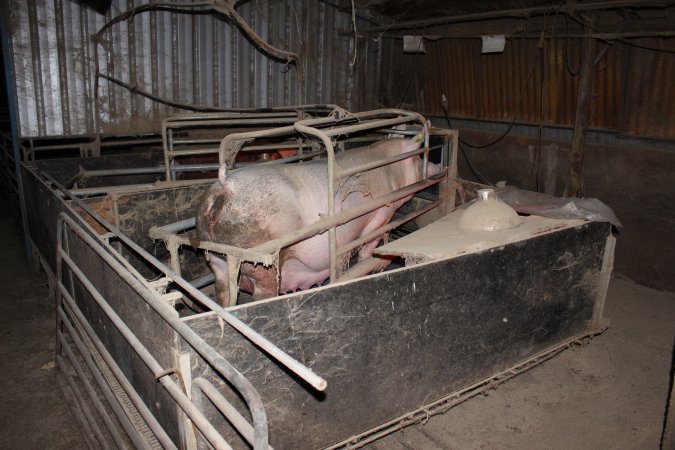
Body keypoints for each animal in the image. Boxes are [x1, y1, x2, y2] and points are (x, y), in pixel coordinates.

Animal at [195, 136, 434, 306]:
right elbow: (369, 245)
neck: (391, 171)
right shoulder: (381, 214)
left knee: (223, 293)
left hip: (215, 258)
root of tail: (226, 186)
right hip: (262, 260)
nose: (435, 167)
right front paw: (372, 262)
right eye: (419, 158)